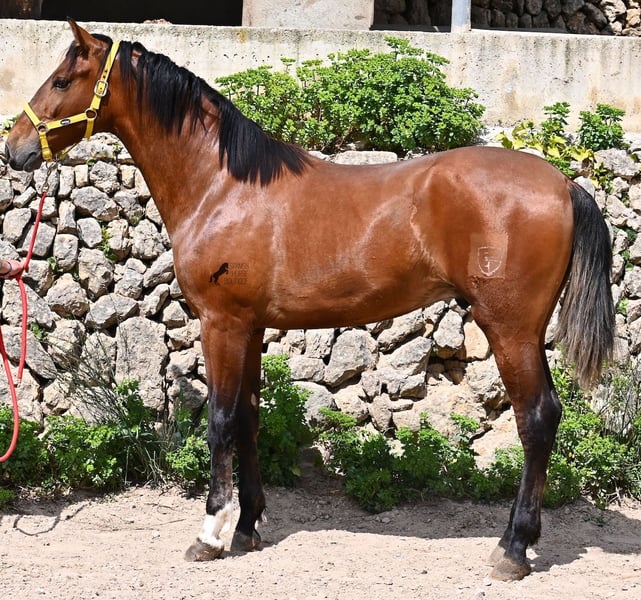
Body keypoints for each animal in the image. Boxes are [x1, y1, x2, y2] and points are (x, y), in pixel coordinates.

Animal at [5, 21, 614, 581]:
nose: (15, 147)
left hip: (508, 328)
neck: (222, 186)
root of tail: (565, 184)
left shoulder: (221, 324)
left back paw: (512, 548)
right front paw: (248, 526)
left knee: (536, 418)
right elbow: (248, 417)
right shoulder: (250, 327)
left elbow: (220, 420)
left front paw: (210, 534)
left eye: (63, 80)